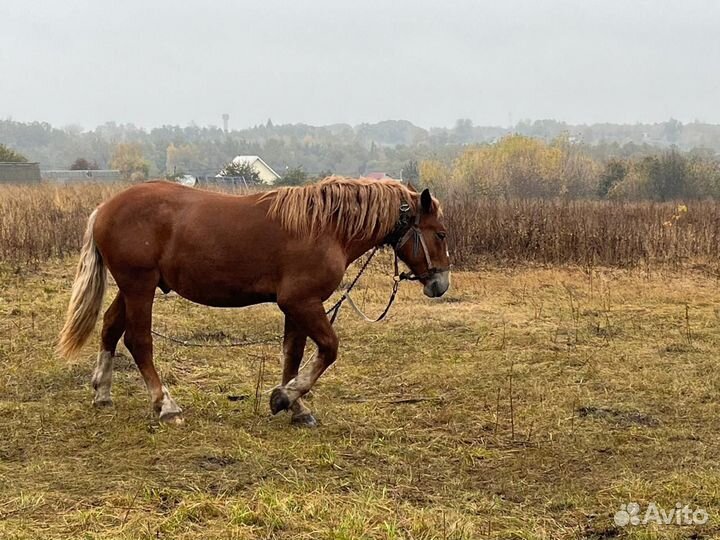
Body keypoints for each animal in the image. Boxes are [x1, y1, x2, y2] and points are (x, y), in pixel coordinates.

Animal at [57, 177, 451, 425]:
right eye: (441, 234)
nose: (441, 284)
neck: (326, 227)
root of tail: (105, 208)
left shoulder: (297, 307)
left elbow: (293, 354)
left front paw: (294, 404)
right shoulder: (302, 302)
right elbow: (328, 349)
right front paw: (286, 397)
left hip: (134, 287)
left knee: (110, 327)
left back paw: (102, 392)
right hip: (140, 286)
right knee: (138, 341)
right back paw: (165, 404)